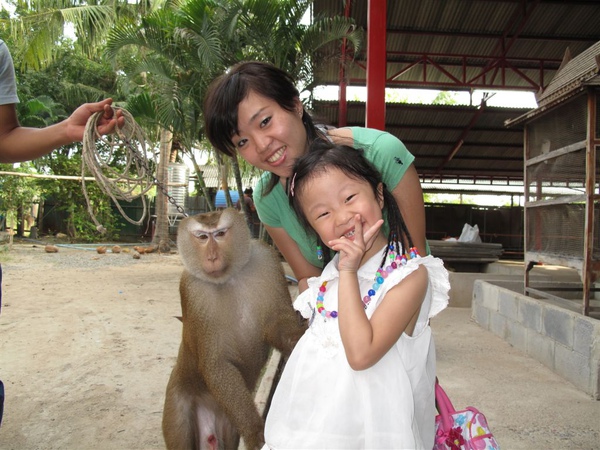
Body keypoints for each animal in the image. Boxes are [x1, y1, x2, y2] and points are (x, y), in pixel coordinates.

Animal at [162, 208, 307, 450]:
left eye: (220, 233)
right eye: (202, 237)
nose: (212, 257)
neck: (229, 277)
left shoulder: (267, 260)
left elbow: (277, 323)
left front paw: (298, 338)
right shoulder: (191, 290)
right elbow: (216, 363)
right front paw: (255, 430)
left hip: (227, 421)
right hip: (178, 405)